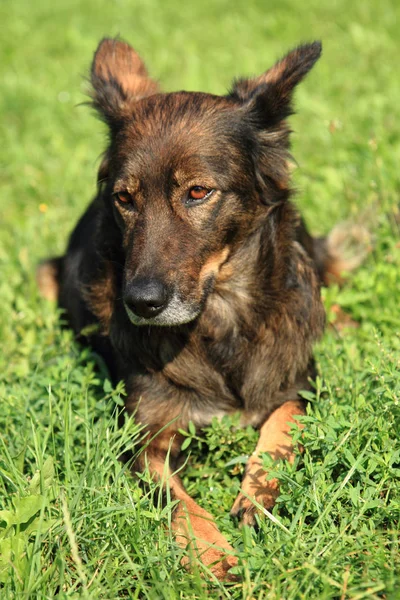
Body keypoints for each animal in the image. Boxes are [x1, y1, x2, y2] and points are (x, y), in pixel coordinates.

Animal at [38, 38, 360, 580]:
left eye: (197, 192)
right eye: (124, 199)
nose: (141, 303)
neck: (217, 320)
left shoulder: (301, 382)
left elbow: (284, 422)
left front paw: (257, 492)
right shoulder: (143, 439)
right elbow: (177, 500)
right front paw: (212, 552)